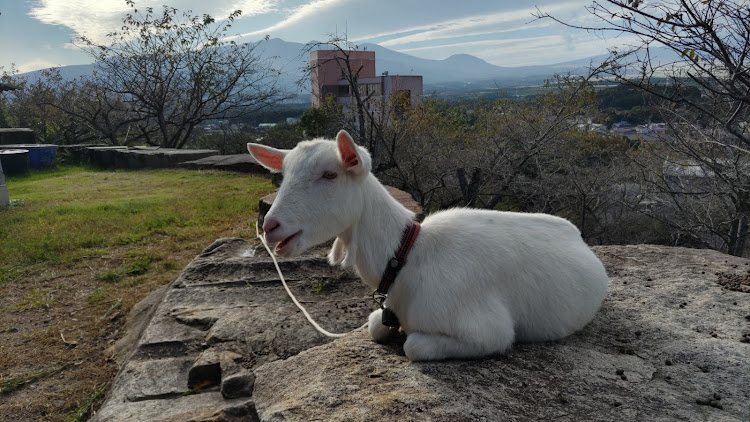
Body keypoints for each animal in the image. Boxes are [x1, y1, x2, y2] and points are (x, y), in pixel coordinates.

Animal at [250, 130, 612, 362]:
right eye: (283, 174)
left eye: (329, 175)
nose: (270, 226)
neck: (407, 258)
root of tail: (576, 236)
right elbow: (375, 326)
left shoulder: (488, 331)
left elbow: (414, 346)